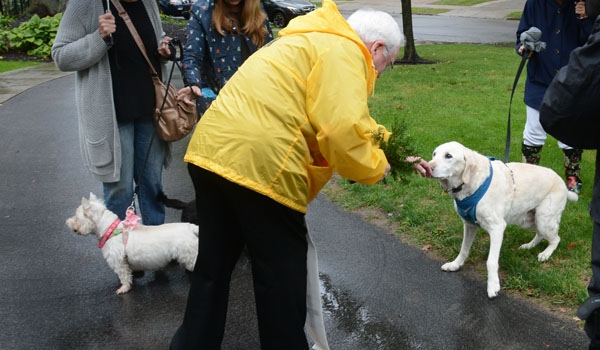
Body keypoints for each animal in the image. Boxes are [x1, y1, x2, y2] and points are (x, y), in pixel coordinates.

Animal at [66, 193, 199, 294]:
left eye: (76, 217)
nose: (68, 223)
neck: (110, 230)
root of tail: (191, 227)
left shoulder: (119, 262)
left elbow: (124, 276)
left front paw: (123, 289)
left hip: (189, 255)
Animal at [426, 141, 576, 300]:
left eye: (448, 156)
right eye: (434, 154)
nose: (428, 167)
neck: (472, 183)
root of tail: (564, 184)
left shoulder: (497, 228)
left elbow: (491, 261)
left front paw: (493, 286)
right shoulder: (469, 225)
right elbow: (464, 249)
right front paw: (455, 265)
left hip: (543, 220)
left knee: (556, 239)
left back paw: (545, 254)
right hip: (528, 219)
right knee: (541, 234)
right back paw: (529, 246)